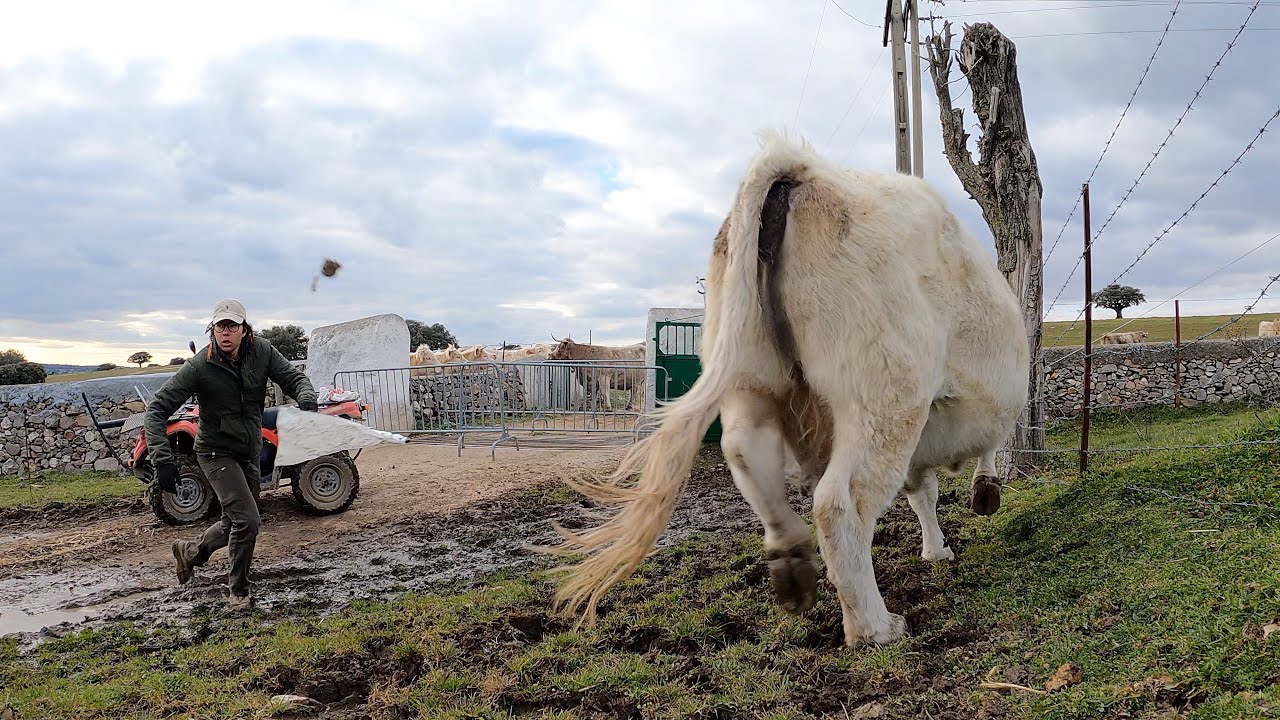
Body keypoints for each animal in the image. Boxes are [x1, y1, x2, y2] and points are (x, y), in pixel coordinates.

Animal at [541, 132, 1028, 647]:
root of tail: (801, 168)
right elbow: (961, 469)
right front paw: (981, 495)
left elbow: (923, 493)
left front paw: (937, 546)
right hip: (884, 396)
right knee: (840, 502)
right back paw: (875, 627)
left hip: (751, 376)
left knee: (745, 452)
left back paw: (792, 562)